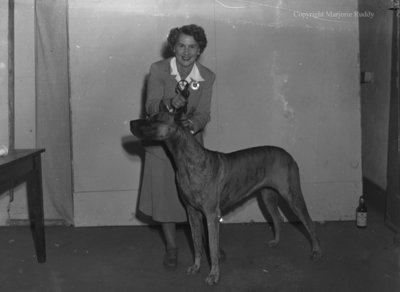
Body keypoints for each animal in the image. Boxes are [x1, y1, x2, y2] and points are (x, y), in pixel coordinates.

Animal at [131, 105, 322, 286]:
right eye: (149, 116)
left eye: (155, 119)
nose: (132, 122)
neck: (186, 160)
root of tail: (288, 155)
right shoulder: (192, 212)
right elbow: (196, 243)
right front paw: (196, 267)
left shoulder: (211, 215)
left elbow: (212, 247)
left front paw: (213, 275)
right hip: (267, 196)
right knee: (277, 218)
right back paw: (275, 241)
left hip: (292, 195)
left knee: (309, 223)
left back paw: (315, 251)